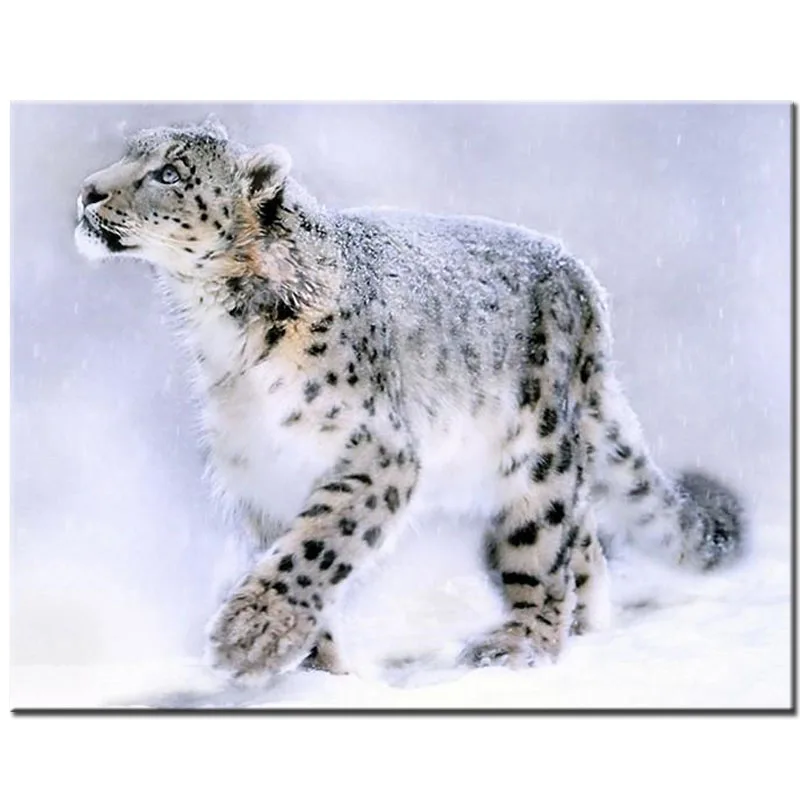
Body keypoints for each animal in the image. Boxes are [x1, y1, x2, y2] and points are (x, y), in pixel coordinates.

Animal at [74, 117, 745, 684]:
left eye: (169, 173)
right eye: (129, 153)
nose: (87, 192)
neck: (223, 332)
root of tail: (582, 280)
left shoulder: (377, 449)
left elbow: (317, 545)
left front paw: (250, 637)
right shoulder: (260, 469)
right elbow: (287, 549)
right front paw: (315, 669)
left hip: (538, 449)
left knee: (543, 545)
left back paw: (521, 642)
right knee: (584, 540)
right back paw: (583, 626)